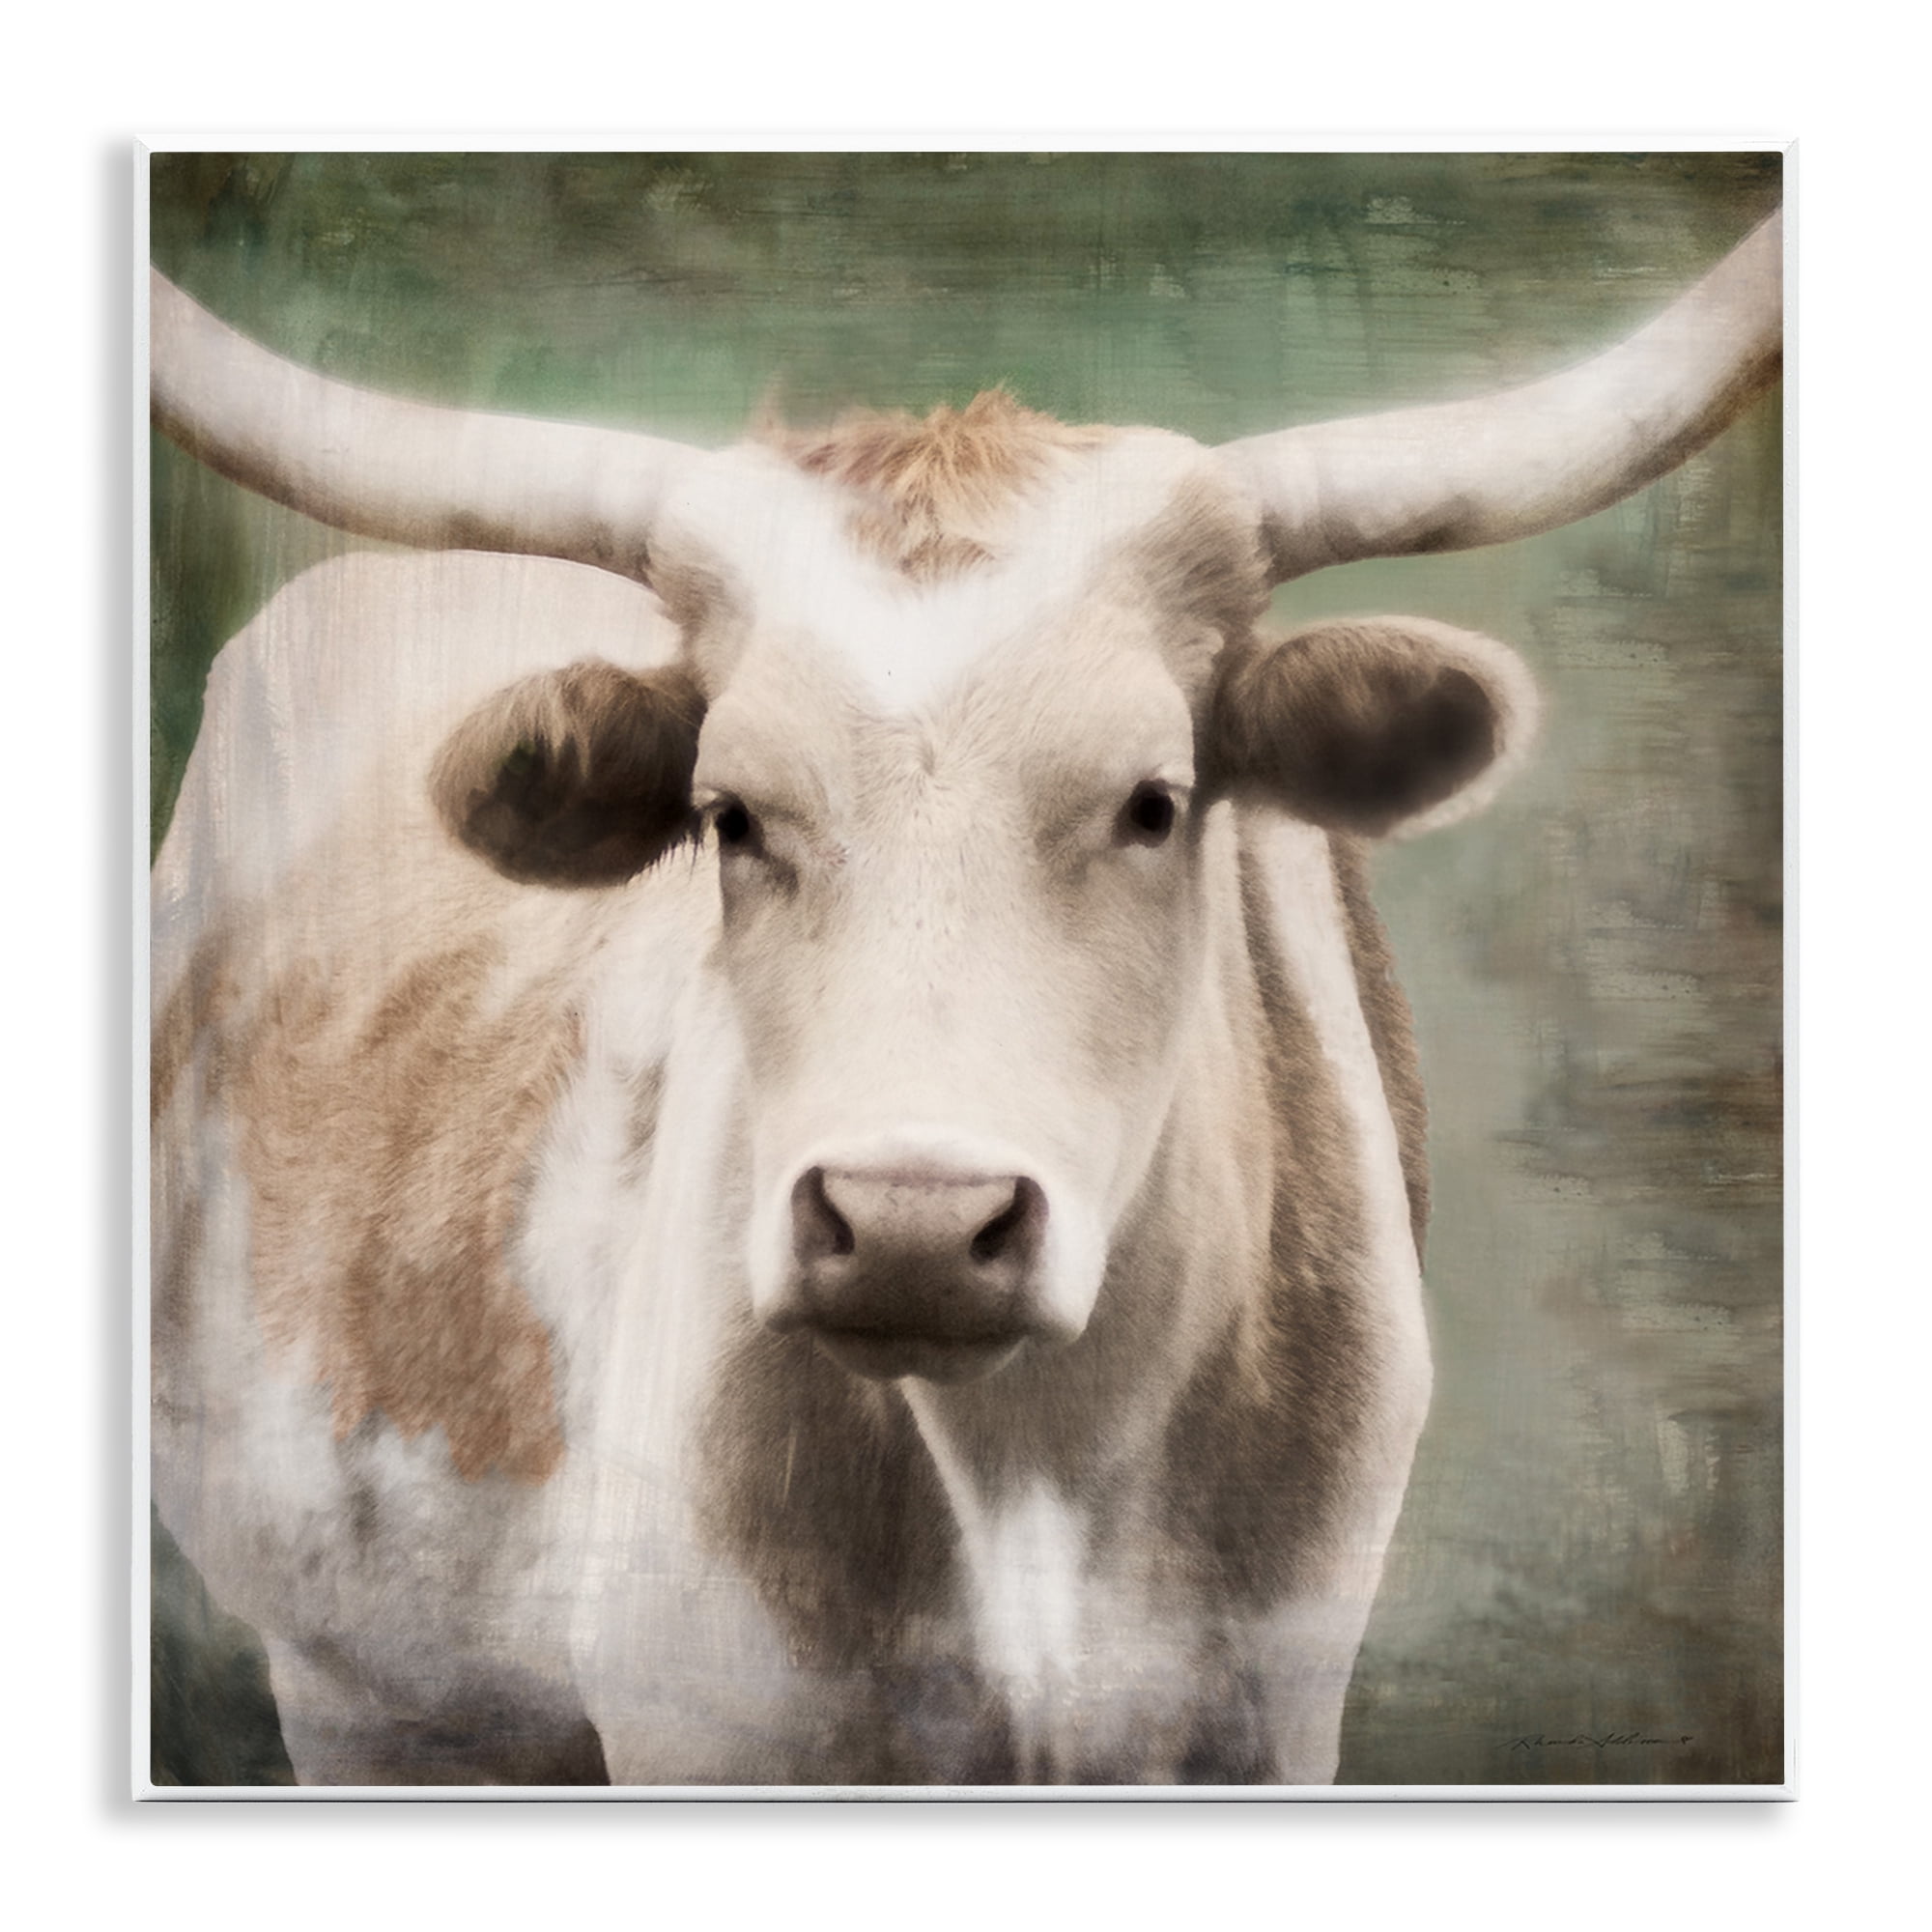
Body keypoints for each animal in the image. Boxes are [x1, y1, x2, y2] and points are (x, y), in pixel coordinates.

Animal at [148, 208, 1782, 1788]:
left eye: (1154, 803)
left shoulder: (1267, 1714)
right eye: (728, 816)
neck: (1035, 1479)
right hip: (367, 1687)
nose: (911, 1227)